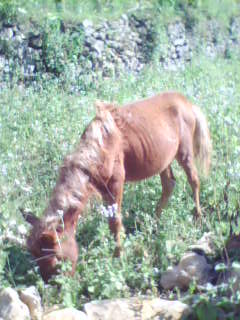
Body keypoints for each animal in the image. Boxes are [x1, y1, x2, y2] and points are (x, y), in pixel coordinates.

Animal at [23, 91, 210, 282]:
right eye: (35, 256)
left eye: (56, 257)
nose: (53, 284)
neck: (101, 147)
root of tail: (187, 102)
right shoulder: (102, 189)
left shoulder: (116, 184)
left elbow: (115, 222)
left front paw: (118, 257)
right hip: (164, 159)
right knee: (169, 184)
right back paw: (154, 223)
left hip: (184, 152)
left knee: (194, 180)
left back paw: (198, 217)